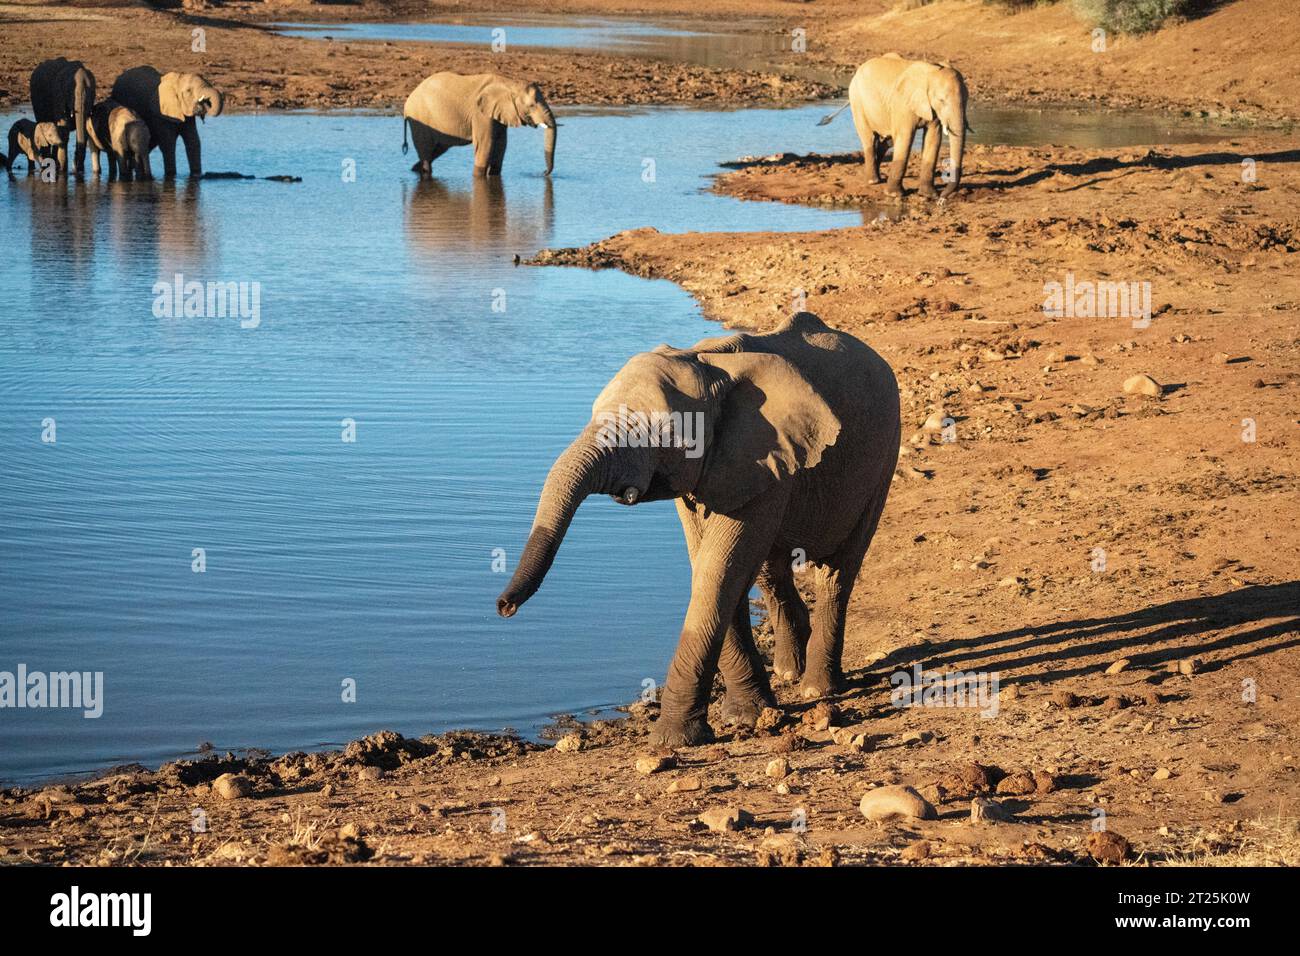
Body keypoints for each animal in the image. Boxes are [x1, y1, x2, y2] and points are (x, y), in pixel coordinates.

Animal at [400, 71, 553, 176]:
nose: (543, 172)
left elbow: (501, 144)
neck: (508, 83)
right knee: (427, 151)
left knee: (438, 148)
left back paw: (414, 169)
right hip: (419, 118)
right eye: (532, 106)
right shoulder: (480, 113)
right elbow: (486, 144)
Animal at [491, 314, 899, 749]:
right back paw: (789, 672)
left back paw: (817, 688)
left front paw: (673, 740)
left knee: (838, 571)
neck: (707, 365)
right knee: (771, 571)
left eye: (661, 434)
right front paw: (744, 715)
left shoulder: (760, 456)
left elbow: (720, 568)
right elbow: (713, 564)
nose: (504, 607)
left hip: (882, 460)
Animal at [847, 52, 972, 200]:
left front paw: (929, 195)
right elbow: (905, 138)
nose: (943, 197)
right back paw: (873, 181)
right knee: (870, 139)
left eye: (966, 100)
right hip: (857, 101)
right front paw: (894, 195)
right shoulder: (903, 104)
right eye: (941, 100)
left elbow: (933, 138)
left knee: (887, 142)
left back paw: (879, 177)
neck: (930, 74)